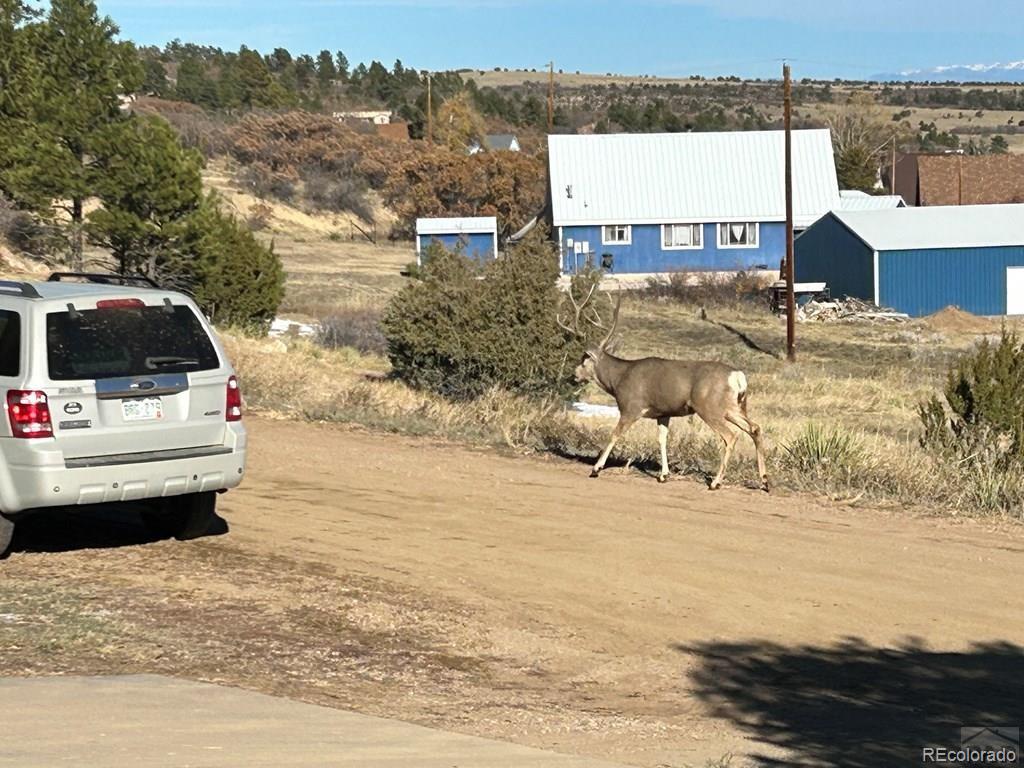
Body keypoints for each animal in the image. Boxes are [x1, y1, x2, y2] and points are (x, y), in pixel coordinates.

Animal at [561, 288, 770, 493]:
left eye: (583, 360)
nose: (573, 375)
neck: (618, 379)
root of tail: (737, 376)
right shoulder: (663, 413)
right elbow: (662, 439)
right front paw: (664, 475)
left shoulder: (631, 407)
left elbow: (615, 434)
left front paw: (596, 468)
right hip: (734, 407)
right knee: (755, 428)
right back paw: (764, 481)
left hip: (708, 406)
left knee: (731, 436)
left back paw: (715, 483)